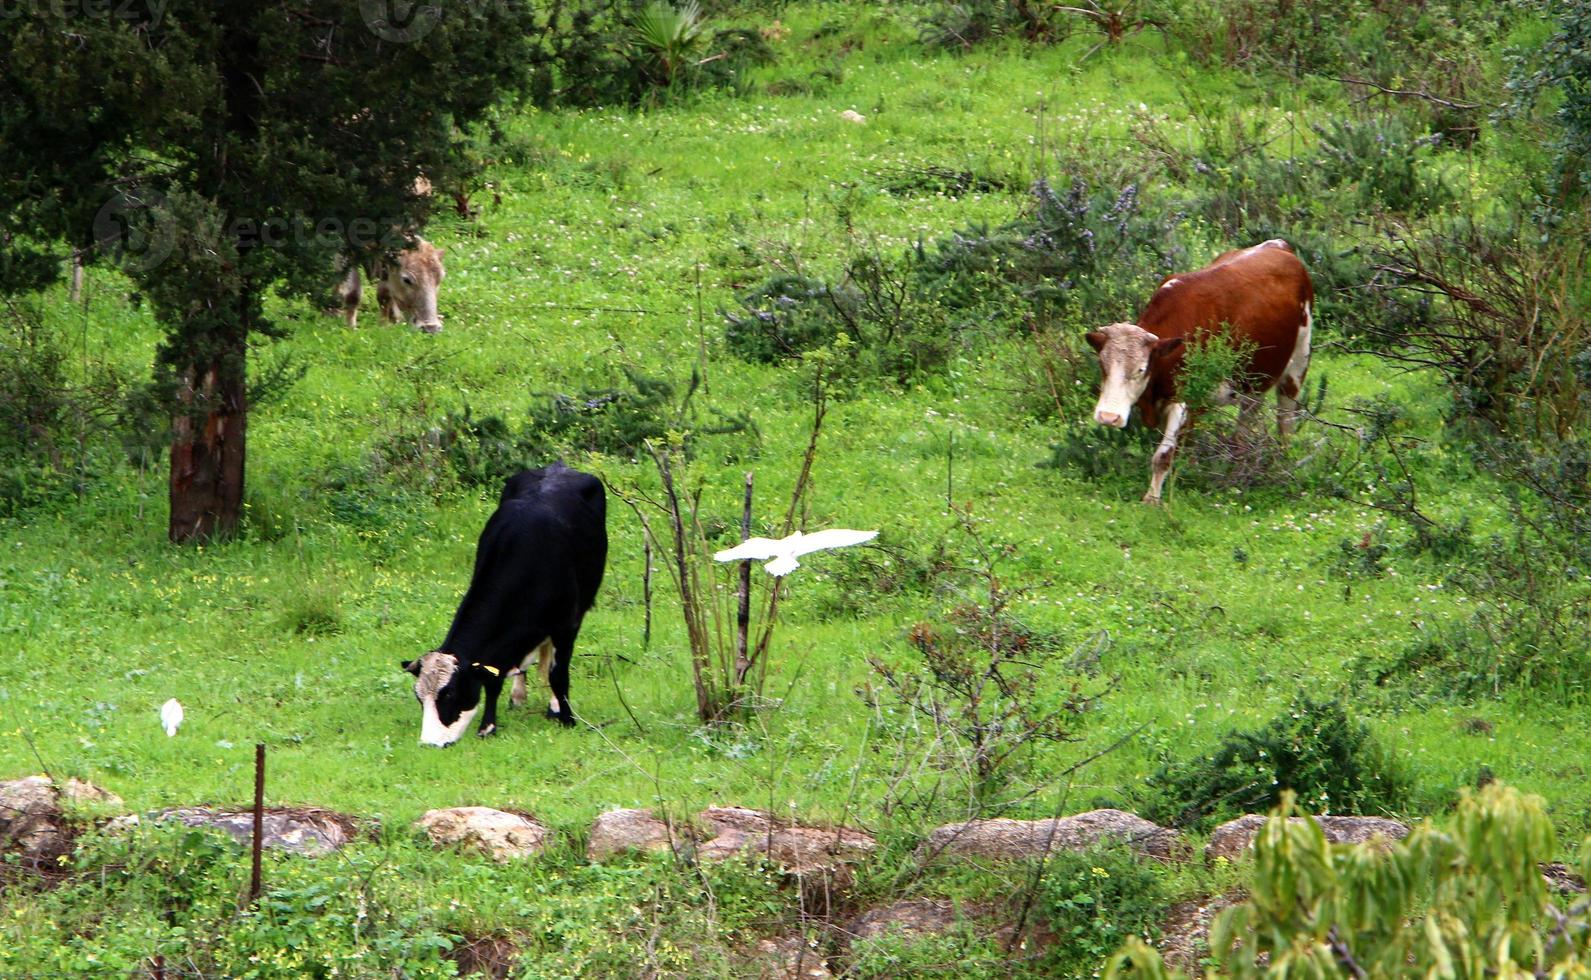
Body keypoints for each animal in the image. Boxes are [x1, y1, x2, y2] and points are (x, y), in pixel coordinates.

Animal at [404, 464, 607, 747]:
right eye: (419, 697)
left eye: (450, 695)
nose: (429, 743)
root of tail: (558, 466)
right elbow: (493, 678)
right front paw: (488, 726)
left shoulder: (567, 624)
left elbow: (558, 674)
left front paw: (566, 718)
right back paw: (519, 695)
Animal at [1081, 238, 1317, 505]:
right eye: (1103, 364)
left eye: (1141, 369)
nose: (1108, 417)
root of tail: (1279, 245)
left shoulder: (1184, 402)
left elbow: (1164, 454)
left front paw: (1152, 498)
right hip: (1253, 381)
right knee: (1246, 420)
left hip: (1297, 363)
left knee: (1285, 422)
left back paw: (1283, 464)